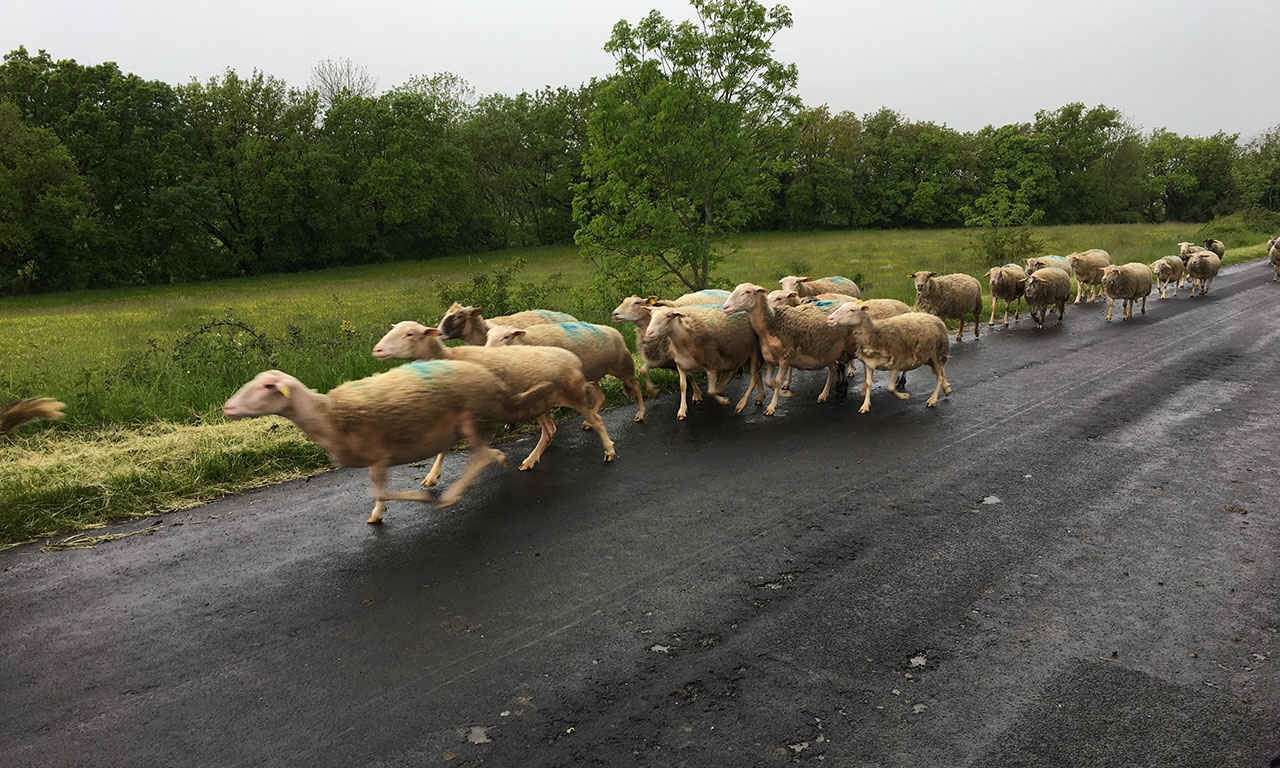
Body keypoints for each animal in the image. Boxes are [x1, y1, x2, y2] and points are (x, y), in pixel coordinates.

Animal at [221, 360, 540, 522]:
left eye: (267, 387)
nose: (228, 407)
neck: (330, 415)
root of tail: (493, 379)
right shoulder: (375, 461)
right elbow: (378, 492)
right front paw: (378, 512)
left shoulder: (378, 457)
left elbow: (380, 491)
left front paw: (417, 500)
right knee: (481, 453)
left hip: (472, 418)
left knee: (481, 455)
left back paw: (454, 492)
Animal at [371, 321, 614, 483]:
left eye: (409, 334)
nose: (377, 350)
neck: (449, 358)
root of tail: (573, 358)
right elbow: (443, 448)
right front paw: (432, 476)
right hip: (539, 403)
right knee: (550, 431)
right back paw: (530, 460)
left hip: (571, 394)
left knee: (595, 419)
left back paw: (609, 451)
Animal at [483, 321, 645, 422]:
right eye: (488, 336)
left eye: (506, 337)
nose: (485, 353)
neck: (525, 342)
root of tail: (616, 331)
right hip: (592, 375)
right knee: (601, 396)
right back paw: (589, 422)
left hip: (622, 367)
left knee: (636, 386)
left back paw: (640, 414)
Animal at [727, 281, 855, 417]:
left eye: (747, 292)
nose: (726, 307)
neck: (773, 324)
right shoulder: (770, 360)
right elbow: (768, 382)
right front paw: (783, 393)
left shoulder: (785, 357)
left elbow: (777, 381)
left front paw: (771, 407)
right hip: (827, 352)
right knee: (834, 369)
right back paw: (824, 394)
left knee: (842, 366)